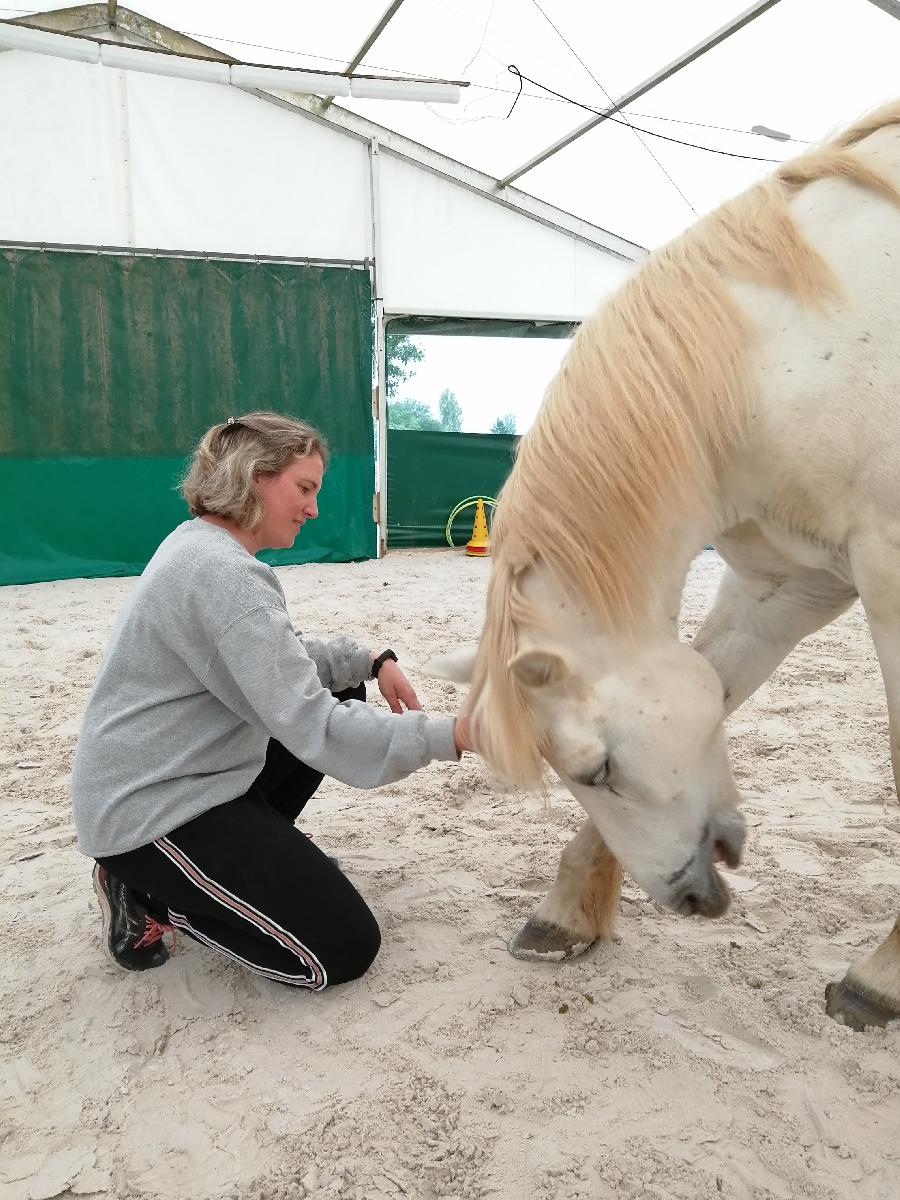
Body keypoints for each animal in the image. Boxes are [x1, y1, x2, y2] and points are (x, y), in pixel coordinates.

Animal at [444, 100, 900, 1032]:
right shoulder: (785, 586)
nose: (688, 898)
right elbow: (715, 683)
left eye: (595, 770)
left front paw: (881, 979)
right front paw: (565, 914)